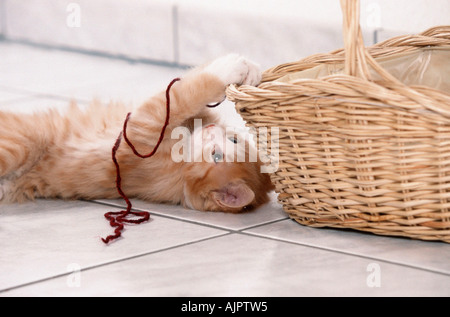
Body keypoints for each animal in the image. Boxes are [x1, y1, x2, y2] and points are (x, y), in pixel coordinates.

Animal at [0, 53, 274, 212]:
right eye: (233, 138)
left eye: (216, 156)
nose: (209, 131)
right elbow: (191, 87)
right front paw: (248, 68)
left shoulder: (142, 130)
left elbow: (186, 93)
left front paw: (230, 67)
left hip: (20, 146)